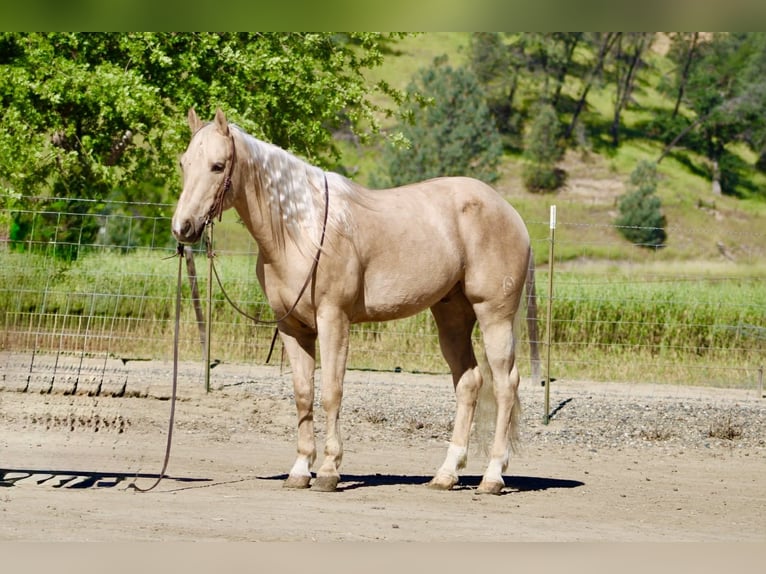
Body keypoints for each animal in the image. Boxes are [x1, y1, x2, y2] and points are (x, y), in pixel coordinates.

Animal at [172, 108, 539, 494]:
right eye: (184, 163)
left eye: (217, 166)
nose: (183, 228)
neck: (302, 230)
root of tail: (507, 210)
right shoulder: (292, 328)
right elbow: (303, 394)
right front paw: (300, 470)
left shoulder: (333, 319)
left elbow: (331, 392)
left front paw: (329, 471)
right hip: (452, 317)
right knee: (469, 383)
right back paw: (446, 474)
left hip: (494, 316)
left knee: (505, 384)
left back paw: (493, 476)